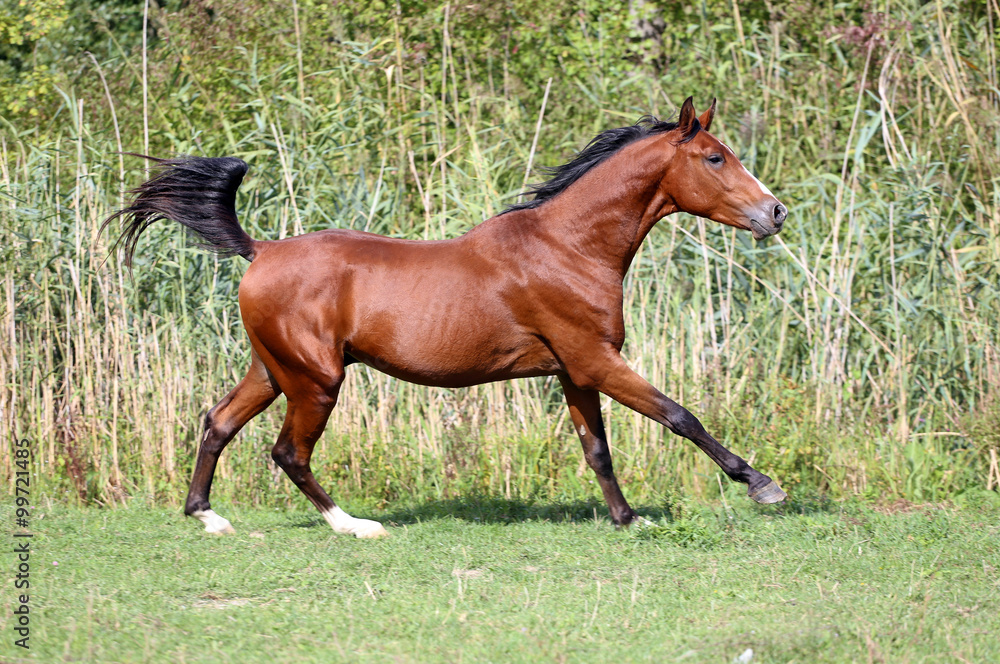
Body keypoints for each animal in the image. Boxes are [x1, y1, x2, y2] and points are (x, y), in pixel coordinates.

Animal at [103, 97, 788, 538]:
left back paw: (208, 516)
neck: (567, 247)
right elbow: (679, 415)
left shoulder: (574, 370)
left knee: (218, 422)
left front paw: (625, 518)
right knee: (288, 452)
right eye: (715, 158)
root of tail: (261, 250)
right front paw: (761, 484)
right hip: (316, 381)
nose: (775, 212)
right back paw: (355, 526)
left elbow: (597, 449)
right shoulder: (595, 359)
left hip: (275, 370)